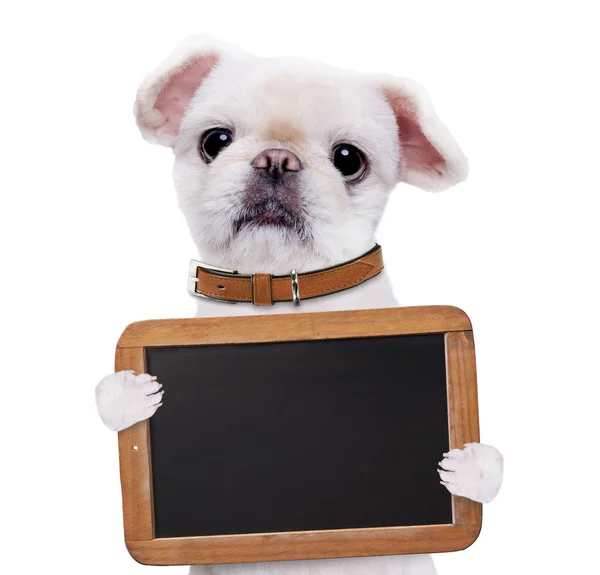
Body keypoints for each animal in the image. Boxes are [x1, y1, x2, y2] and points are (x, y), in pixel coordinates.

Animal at [97, 36, 502, 575]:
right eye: (215, 141)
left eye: (349, 159)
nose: (276, 158)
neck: (281, 295)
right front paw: (126, 392)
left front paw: (472, 466)